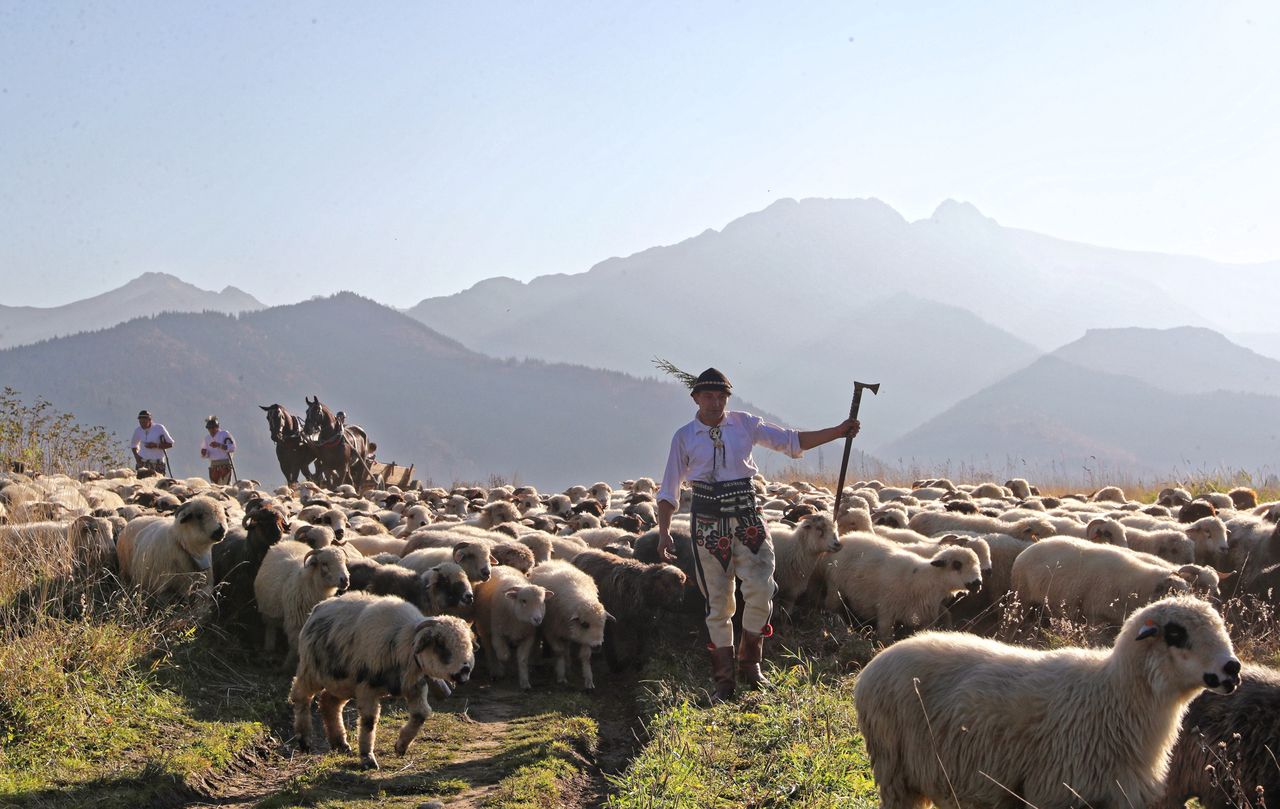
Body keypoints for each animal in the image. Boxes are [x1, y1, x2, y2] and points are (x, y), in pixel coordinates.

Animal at [290, 593, 476, 773]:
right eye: (441, 645)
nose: (465, 670)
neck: (403, 642)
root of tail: (318, 607)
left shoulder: (415, 685)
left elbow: (420, 714)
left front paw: (400, 747)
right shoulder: (367, 688)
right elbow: (369, 721)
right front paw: (368, 759)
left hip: (341, 682)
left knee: (329, 703)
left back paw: (341, 744)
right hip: (311, 671)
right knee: (301, 696)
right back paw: (304, 740)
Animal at [471, 563, 550, 691]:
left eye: (542, 601)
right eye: (523, 601)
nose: (537, 619)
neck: (517, 621)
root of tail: (500, 566)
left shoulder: (528, 637)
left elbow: (522, 659)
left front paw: (524, 682)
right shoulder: (497, 634)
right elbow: (504, 655)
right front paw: (501, 669)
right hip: (484, 627)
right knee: (489, 648)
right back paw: (494, 670)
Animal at [527, 563, 611, 691]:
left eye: (603, 624)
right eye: (585, 624)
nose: (597, 646)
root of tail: (546, 563)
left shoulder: (586, 638)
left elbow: (586, 657)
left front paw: (588, 680)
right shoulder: (551, 631)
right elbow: (559, 651)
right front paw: (561, 676)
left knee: (566, 647)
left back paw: (568, 665)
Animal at [819, 535, 977, 642]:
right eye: (957, 564)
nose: (978, 583)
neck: (924, 579)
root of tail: (845, 537)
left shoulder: (926, 619)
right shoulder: (886, 612)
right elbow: (886, 637)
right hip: (835, 588)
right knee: (832, 606)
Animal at [860, 593, 1239, 809]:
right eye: (1176, 634)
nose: (1232, 669)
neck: (1112, 695)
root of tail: (877, 662)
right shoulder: (1055, 792)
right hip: (894, 773)